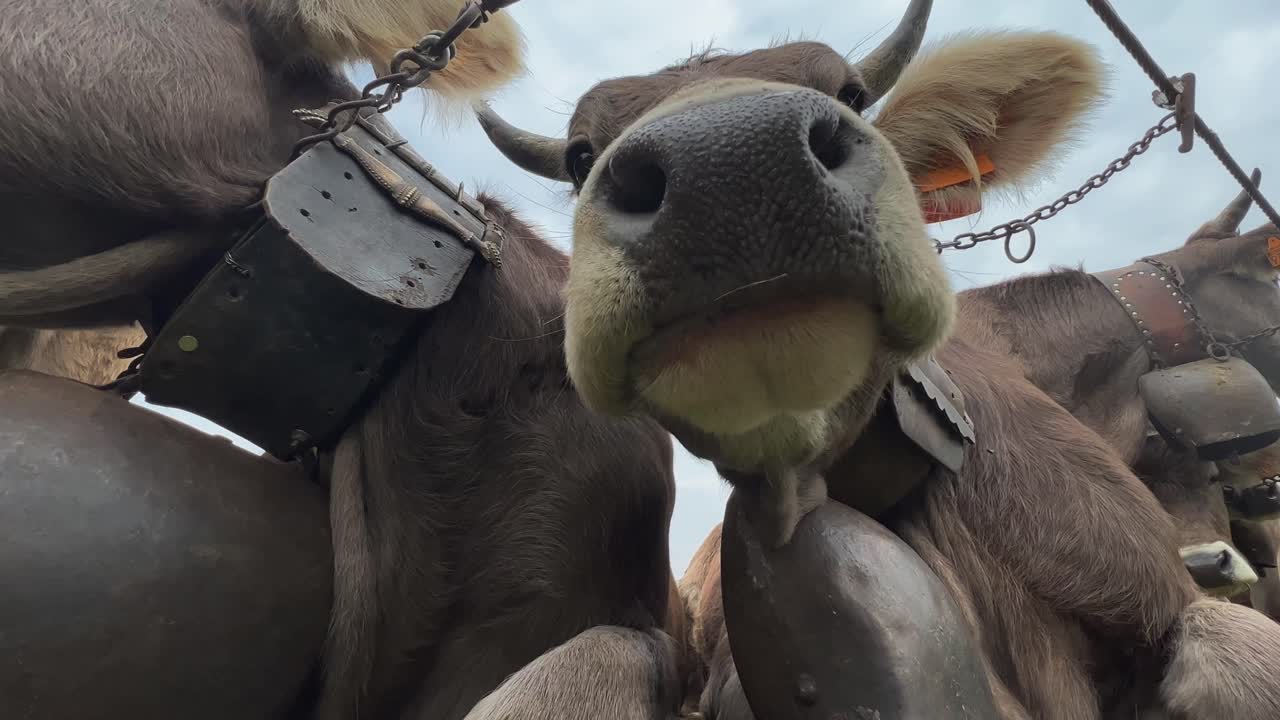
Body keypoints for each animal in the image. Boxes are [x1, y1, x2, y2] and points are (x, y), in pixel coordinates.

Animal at [472, 0, 1280, 716]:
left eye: (852, 93)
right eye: (579, 155)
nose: (726, 165)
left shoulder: (1162, 588)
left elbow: (1235, 648)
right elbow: (586, 660)